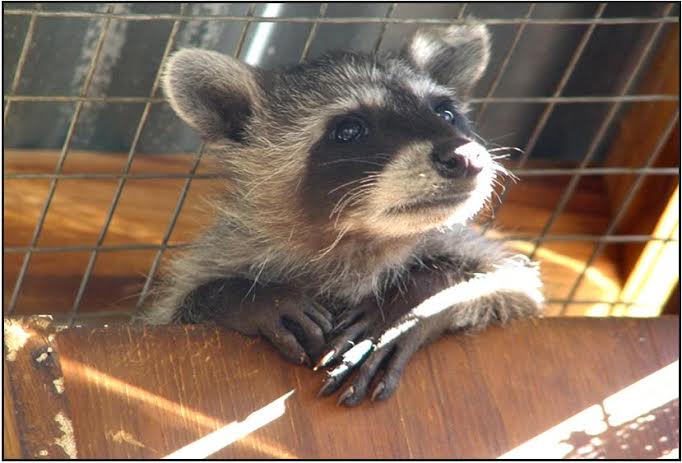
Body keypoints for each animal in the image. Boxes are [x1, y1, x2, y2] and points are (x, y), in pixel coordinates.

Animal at [145, 23, 540, 406]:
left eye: (444, 113)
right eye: (350, 130)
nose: (465, 156)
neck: (359, 237)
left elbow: (513, 286)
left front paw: (416, 301)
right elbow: (175, 311)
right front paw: (240, 296)